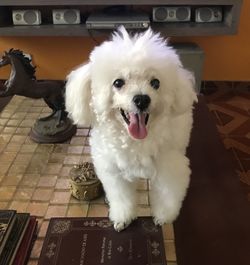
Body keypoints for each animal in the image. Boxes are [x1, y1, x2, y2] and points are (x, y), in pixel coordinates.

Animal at [66, 25, 197, 230]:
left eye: (155, 83)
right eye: (118, 82)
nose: (142, 99)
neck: (135, 142)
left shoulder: (169, 168)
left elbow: (167, 196)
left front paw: (163, 217)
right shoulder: (113, 172)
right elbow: (121, 198)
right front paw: (123, 217)